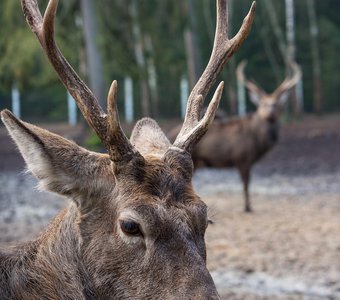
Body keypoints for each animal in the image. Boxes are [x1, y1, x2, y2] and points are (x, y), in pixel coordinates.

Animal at [190, 59, 302, 212]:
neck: (258, 142)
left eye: (276, 104)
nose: (270, 113)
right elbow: (246, 184)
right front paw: (247, 207)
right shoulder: (242, 158)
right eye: (262, 103)